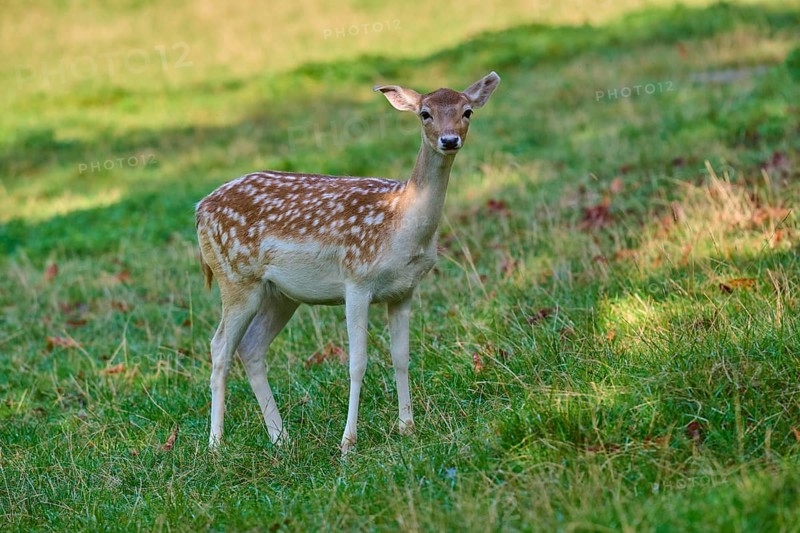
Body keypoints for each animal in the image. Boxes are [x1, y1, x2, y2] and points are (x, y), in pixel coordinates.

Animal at [195, 72, 500, 454]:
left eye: (467, 111)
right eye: (425, 113)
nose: (449, 140)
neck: (399, 223)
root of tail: (199, 210)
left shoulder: (405, 291)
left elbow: (401, 356)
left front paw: (407, 428)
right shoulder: (357, 280)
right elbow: (357, 362)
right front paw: (347, 443)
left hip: (281, 294)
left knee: (251, 348)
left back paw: (281, 438)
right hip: (236, 277)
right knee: (220, 347)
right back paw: (215, 445)